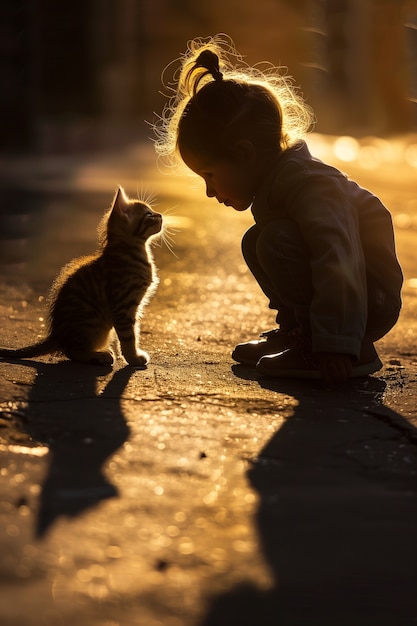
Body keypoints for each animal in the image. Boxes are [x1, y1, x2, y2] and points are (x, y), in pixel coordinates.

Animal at [0, 188, 162, 368]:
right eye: (149, 214)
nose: (161, 215)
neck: (130, 251)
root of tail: (56, 335)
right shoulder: (123, 307)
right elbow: (129, 337)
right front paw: (133, 358)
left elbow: (135, 332)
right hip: (89, 322)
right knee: (72, 351)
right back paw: (99, 356)